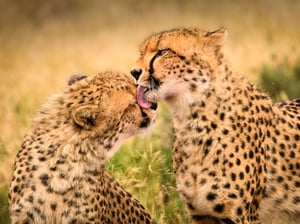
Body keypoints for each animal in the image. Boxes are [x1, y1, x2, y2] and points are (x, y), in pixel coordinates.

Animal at [132, 28, 300, 224]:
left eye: (162, 52)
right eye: (141, 53)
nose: (134, 72)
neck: (191, 118)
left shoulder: (242, 216)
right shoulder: (203, 215)